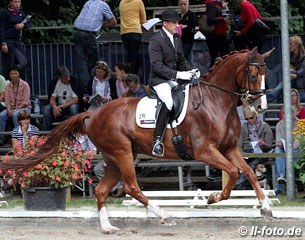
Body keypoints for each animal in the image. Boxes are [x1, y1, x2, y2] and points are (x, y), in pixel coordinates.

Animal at [1, 47, 274, 232]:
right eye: (252, 75)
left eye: (266, 73)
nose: (260, 107)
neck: (215, 101)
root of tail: (94, 112)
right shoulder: (205, 151)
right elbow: (234, 172)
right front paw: (212, 198)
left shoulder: (228, 148)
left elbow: (249, 173)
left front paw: (266, 207)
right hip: (121, 152)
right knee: (132, 187)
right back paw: (164, 215)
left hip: (117, 156)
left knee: (101, 190)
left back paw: (108, 227)